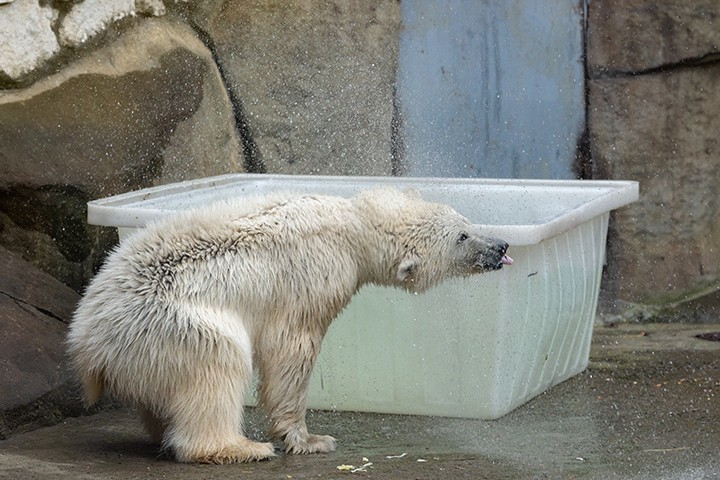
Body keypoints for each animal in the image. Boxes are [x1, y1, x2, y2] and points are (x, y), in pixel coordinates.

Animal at [64, 186, 510, 464]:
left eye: (465, 220)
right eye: (462, 236)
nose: (501, 246)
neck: (349, 223)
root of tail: (87, 350)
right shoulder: (314, 278)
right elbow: (290, 350)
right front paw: (310, 439)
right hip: (168, 324)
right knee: (218, 362)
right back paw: (242, 447)